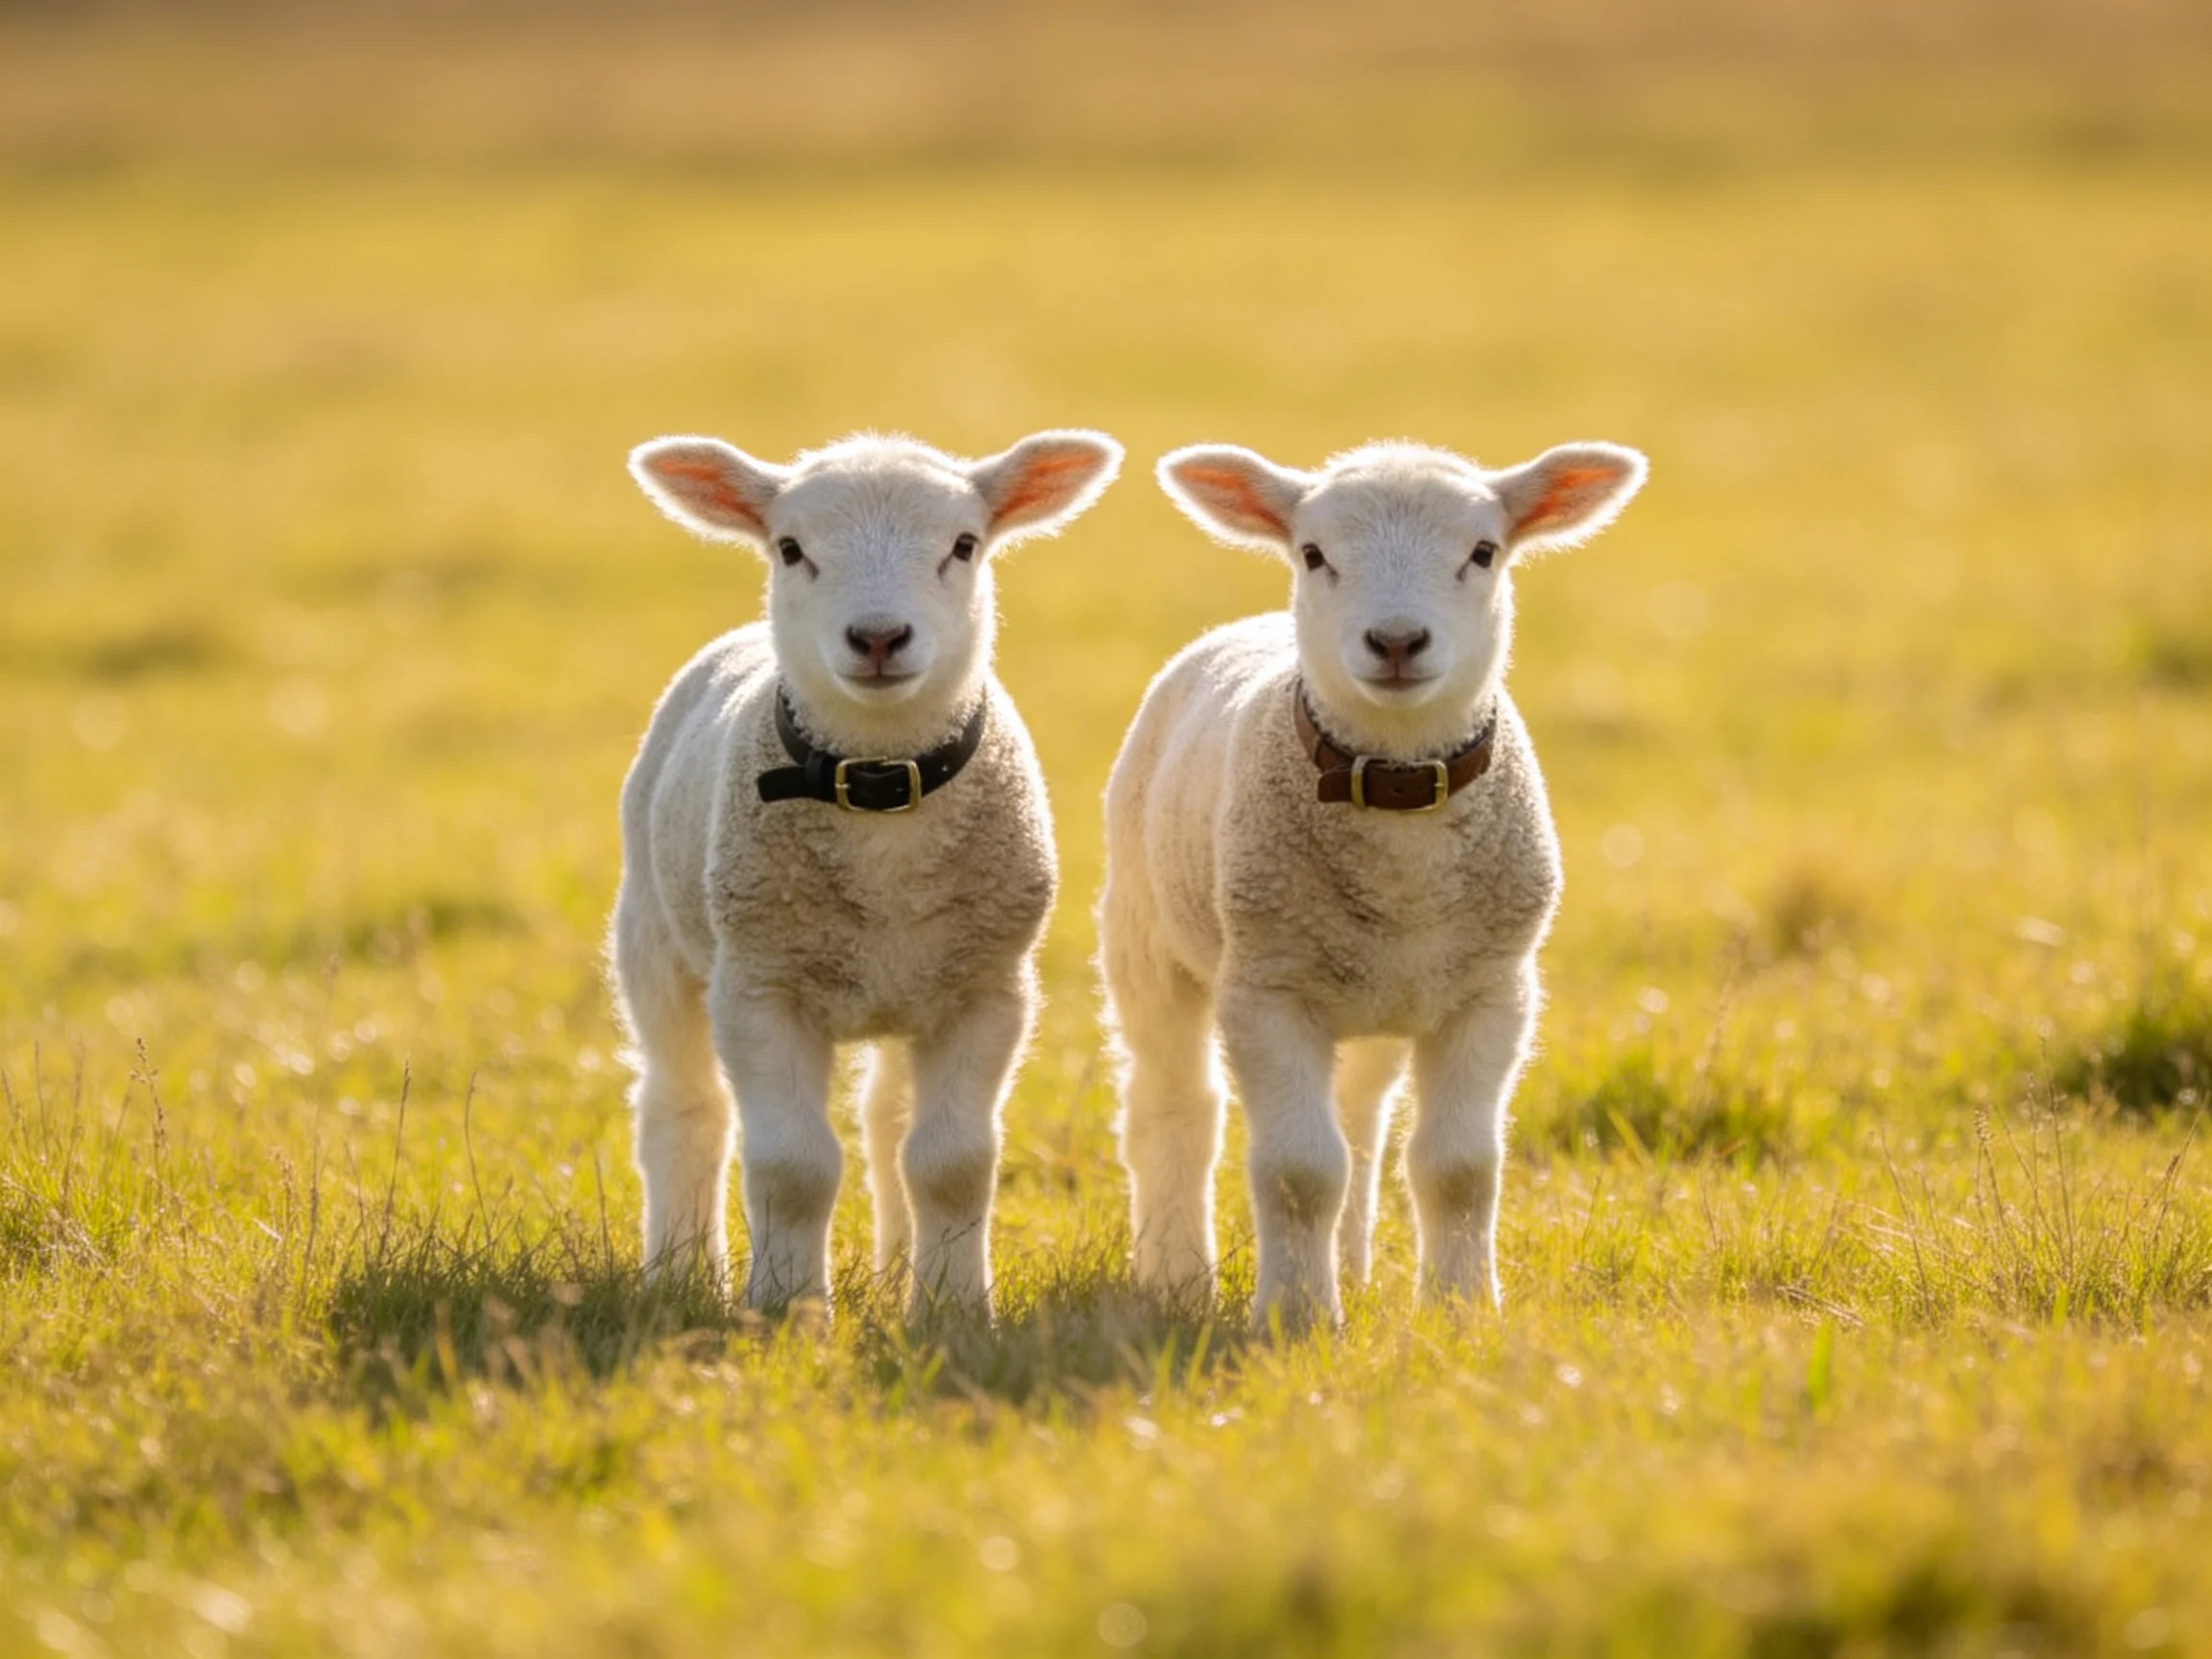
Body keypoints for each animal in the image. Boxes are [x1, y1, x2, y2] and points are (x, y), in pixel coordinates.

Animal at [613, 428, 1123, 1316]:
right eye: (790, 548)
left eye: (964, 545)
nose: (879, 638)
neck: (882, 786)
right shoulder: (759, 987)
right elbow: (792, 1168)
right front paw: (786, 1311)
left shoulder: (988, 989)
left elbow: (952, 1162)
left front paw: (953, 1309)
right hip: (655, 939)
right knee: (684, 1110)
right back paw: (681, 1276)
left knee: (887, 1123)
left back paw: (894, 1272)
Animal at [1099, 437, 1646, 1328]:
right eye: (1314, 554)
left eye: (1483, 552)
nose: (1395, 641)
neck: (1398, 790)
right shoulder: (1268, 990)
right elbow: (1298, 1170)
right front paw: (1295, 1318)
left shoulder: (1491, 993)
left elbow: (1457, 1168)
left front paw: (1462, 1311)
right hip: (1148, 939)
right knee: (1172, 1106)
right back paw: (1176, 1275)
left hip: (1377, 999)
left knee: (1359, 1124)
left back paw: (1350, 1268)